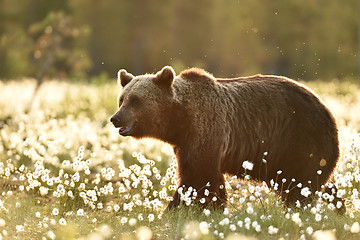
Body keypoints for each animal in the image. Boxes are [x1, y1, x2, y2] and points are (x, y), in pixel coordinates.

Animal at [111, 65, 344, 212]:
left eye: (136, 100)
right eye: (122, 99)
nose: (116, 118)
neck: (180, 120)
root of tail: (325, 106)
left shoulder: (206, 131)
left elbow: (200, 177)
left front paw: (181, 208)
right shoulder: (184, 143)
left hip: (301, 137)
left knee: (302, 182)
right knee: (310, 181)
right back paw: (337, 206)